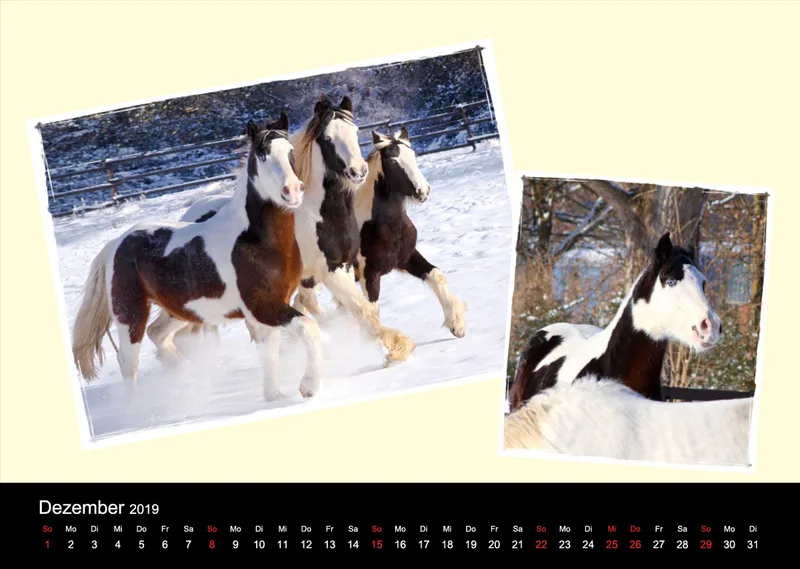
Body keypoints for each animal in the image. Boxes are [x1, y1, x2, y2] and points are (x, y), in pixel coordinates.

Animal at [70, 113, 325, 401]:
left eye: (291, 151)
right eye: (262, 154)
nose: (292, 190)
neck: (256, 241)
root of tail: (116, 244)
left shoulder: (268, 308)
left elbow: (269, 351)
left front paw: (274, 396)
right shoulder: (263, 306)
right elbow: (308, 328)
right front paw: (308, 386)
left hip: (178, 309)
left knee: (158, 334)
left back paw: (187, 376)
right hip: (130, 315)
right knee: (128, 363)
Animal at [158, 94, 415, 366]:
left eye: (355, 132)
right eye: (327, 139)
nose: (358, 171)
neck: (317, 215)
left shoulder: (338, 268)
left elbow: (352, 309)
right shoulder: (326, 271)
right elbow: (356, 310)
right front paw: (398, 347)